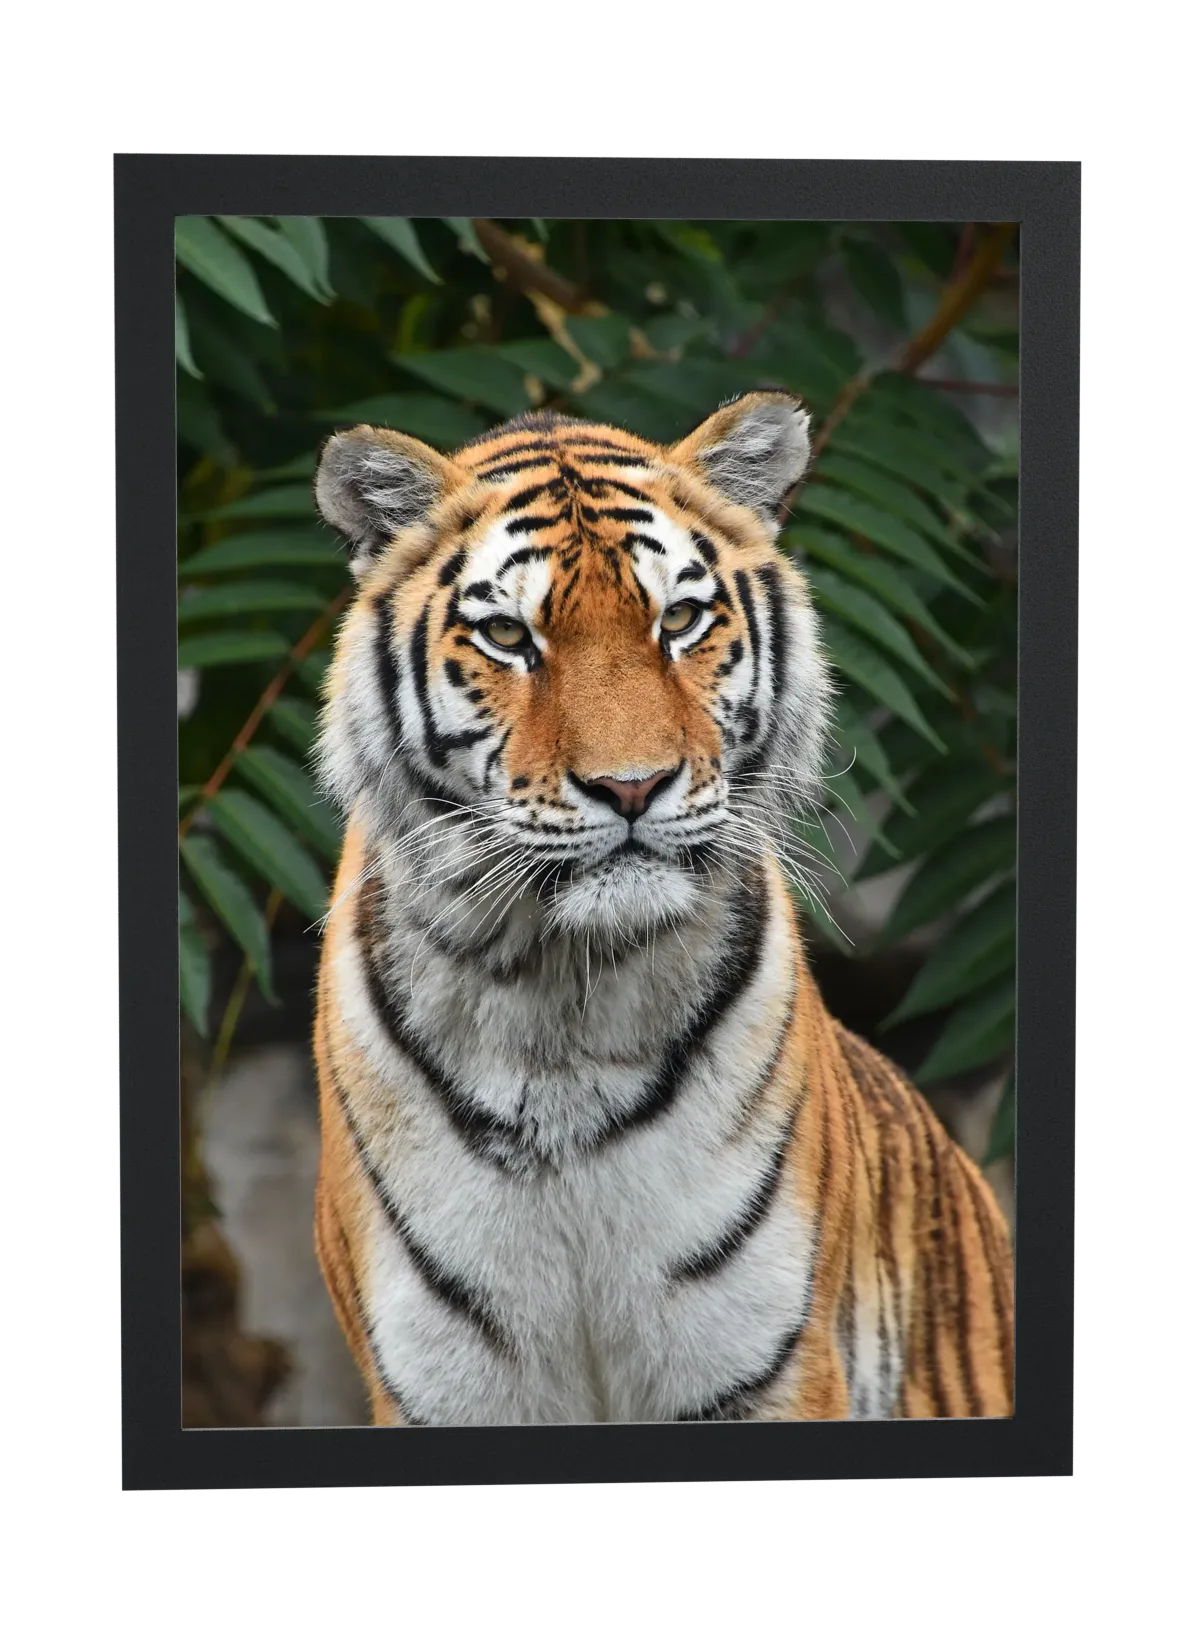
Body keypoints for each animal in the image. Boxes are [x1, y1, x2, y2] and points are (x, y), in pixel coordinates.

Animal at [309, 390, 1015, 1427]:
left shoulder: (769, 1364)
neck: (560, 997)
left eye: (679, 620)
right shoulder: (442, 1389)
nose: (632, 786)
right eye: (509, 638)